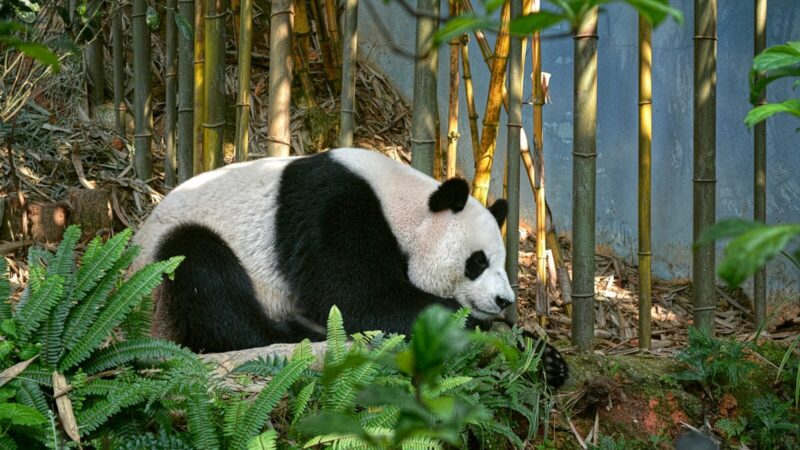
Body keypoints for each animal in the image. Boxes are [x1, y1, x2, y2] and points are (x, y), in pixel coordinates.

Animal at [131, 148, 569, 388]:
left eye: (500, 262)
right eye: (477, 262)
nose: (503, 300)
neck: (403, 204)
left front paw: (547, 359)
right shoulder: (335, 213)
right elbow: (357, 300)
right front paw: (477, 328)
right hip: (159, 275)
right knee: (201, 272)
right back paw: (296, 333)